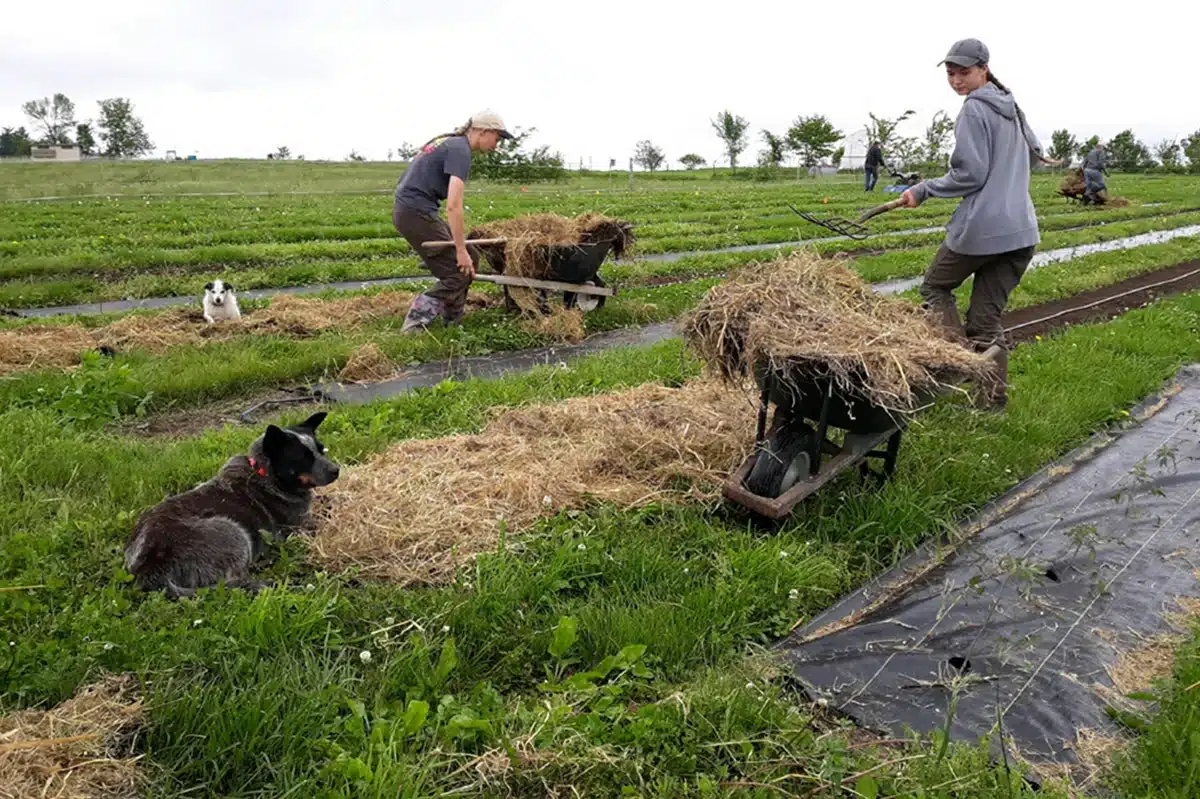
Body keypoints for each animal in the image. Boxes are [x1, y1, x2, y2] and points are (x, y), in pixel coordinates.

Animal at [125, 412, 338, 595]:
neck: (264, 472)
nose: (336, 470)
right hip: (234, 531)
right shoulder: (301, 525)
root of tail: (149, 571)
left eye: (321, 449)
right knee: (232, 581)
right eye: (303, 458)